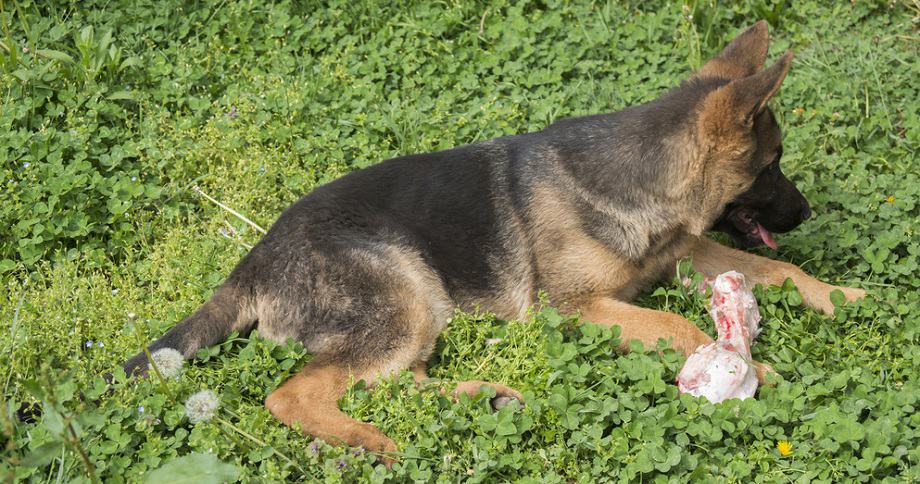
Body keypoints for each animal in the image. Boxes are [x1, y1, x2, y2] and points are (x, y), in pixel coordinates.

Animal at [126, 21, 868, 462]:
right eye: (772, 164)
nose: (805, 210)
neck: (636, 175)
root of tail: (251, 261)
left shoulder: (685, 253)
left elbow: (776, 273)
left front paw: (844, 295)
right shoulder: (578, 310)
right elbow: (680, 328)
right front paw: (754, 371)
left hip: (418, 314)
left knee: (390, 381)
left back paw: (484, 398)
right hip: (407, 293)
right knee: (295, 396)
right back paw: (375, 442)